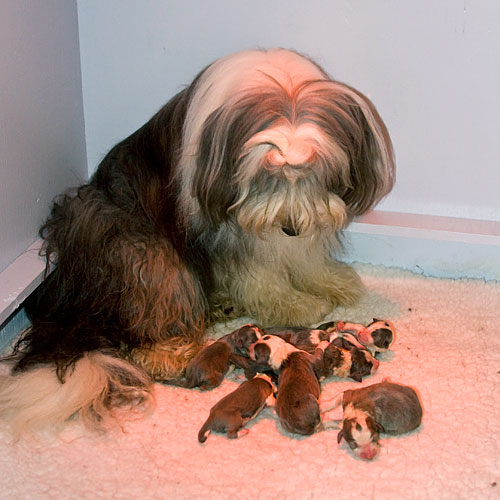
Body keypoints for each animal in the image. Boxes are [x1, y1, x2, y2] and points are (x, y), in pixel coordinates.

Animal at [0, 48, 394, 436]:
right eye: (267, 173)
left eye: (314, 170)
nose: (289, 228)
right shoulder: (222, 219)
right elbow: (257, 269)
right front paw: (295, 305)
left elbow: (303, 256)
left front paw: (331, 281)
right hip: (137, 243)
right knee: (161, 294)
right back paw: (169, 351)